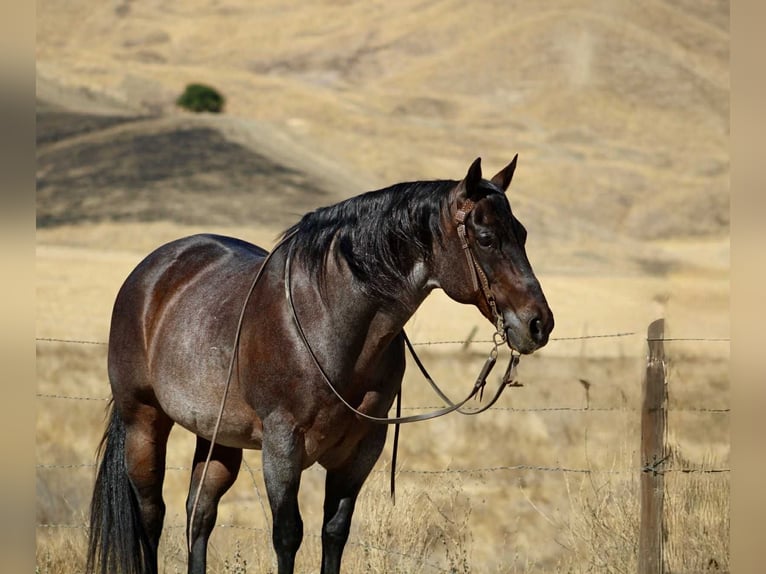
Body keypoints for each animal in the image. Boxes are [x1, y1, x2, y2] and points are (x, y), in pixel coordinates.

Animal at [86, 156, 554, 574]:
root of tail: (151, 271)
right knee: (152, 515)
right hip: (144, 421)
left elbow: (335, 532)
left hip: (218, 436)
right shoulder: (282, 446)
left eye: (522, 233)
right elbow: (287, 535)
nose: (539, 323)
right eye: (486, 237)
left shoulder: (360, 450)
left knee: (198, 513)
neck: (329, 320)